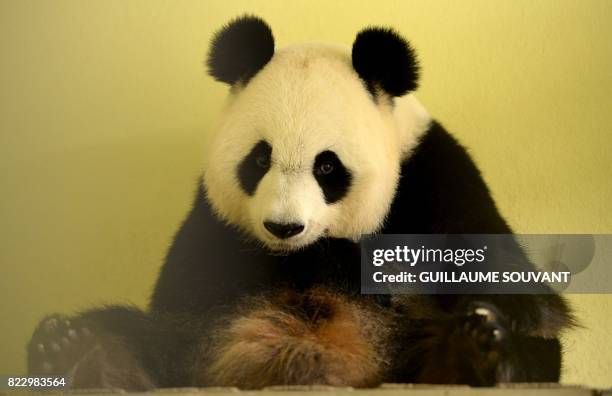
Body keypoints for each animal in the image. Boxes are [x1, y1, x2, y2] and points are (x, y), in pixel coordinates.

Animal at [27, 15, 572, 390]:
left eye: (327, 167)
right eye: (259, 158)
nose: (283, 228)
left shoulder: (434, 174)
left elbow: (514, 286)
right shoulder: (213, 219)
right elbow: (182, 292)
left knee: (527, 349)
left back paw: (477, 353)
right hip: (194, 351)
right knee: (137, 336)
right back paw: (75, 352)